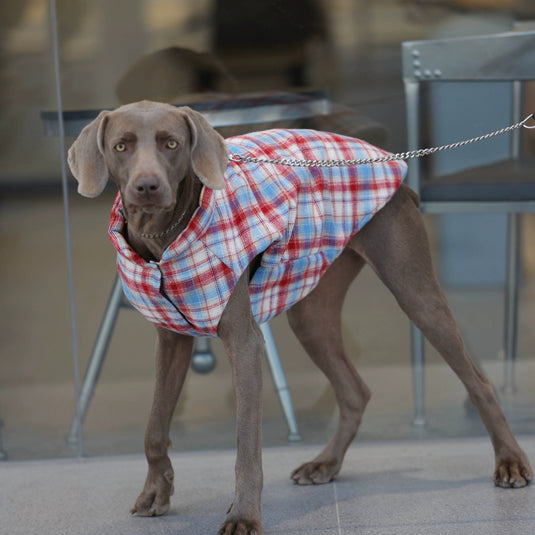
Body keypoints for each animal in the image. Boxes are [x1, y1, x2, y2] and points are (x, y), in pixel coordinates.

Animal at [111, 130, 408, 338]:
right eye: (121, 147)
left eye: (171, 144)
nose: (148, 187)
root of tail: (387, 157)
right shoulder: (172, 335)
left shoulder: (241, 333)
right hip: (313, 307)